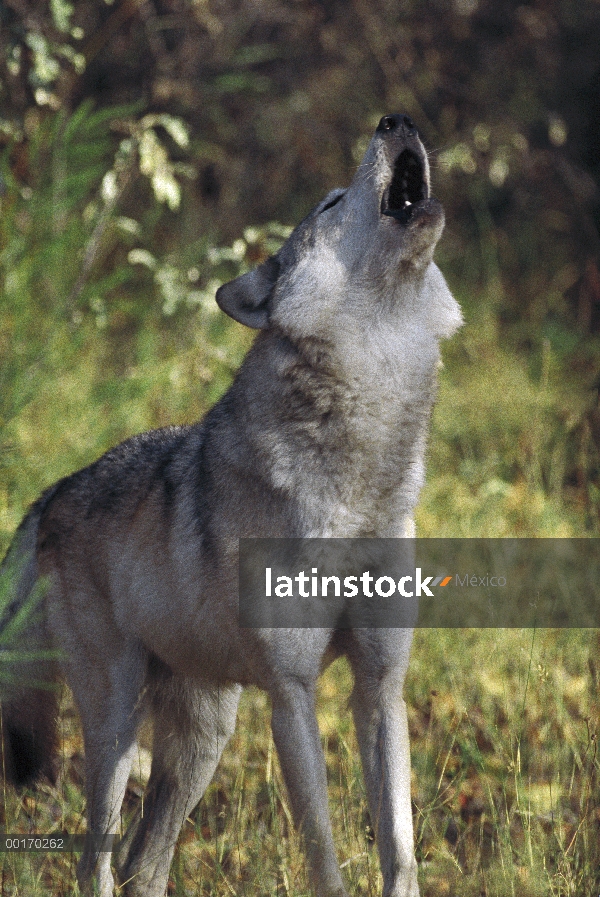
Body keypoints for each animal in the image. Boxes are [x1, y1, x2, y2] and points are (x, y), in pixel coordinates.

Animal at [0, 114, 462, 896]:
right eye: (332, 201)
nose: (395, 119)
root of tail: (54, 491)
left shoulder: (381, 685)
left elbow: (399, 846)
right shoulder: (291, 692)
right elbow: (324, 849)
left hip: (202, 738)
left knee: (144, 866)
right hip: (117, 723)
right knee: (96, 859)